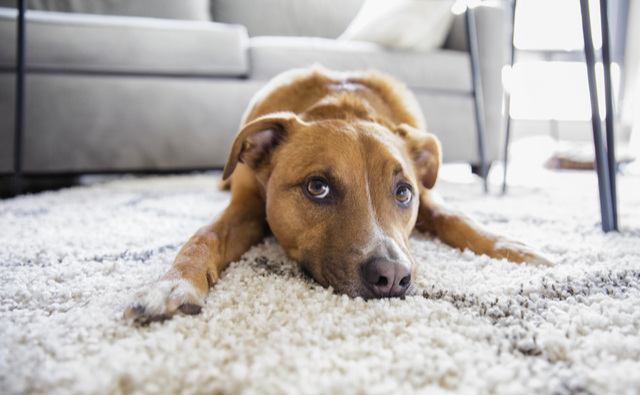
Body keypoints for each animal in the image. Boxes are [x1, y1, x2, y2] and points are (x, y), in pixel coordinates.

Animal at [125, 65, 552, 324]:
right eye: (317, 187)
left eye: (403, 193)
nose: (393, 277)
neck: (344, 108)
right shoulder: (245, 206)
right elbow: (204, 236)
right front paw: (173, 283)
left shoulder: (429, 198)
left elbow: (458, 217)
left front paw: (513, 247)